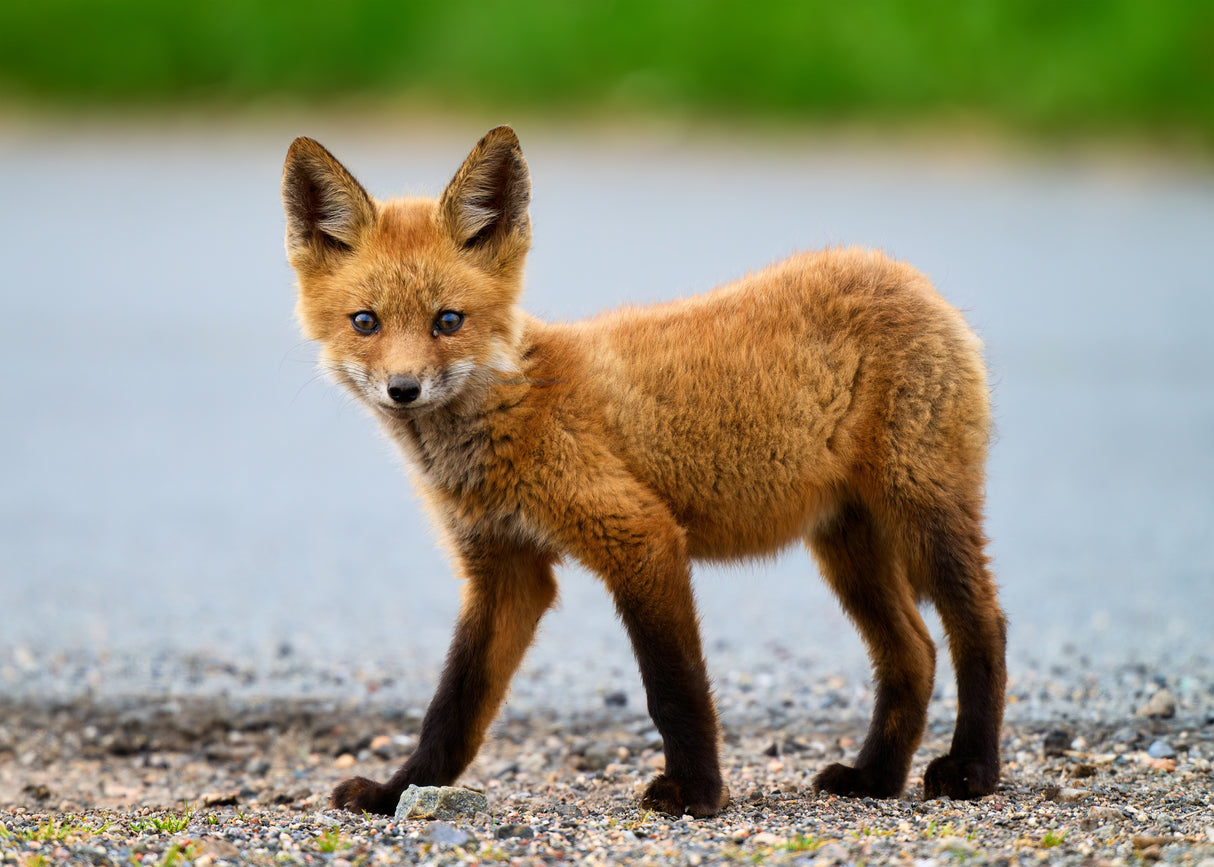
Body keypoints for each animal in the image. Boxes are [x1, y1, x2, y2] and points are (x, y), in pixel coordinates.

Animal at [281, 125, 1007, 819]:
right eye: (365, 322)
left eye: (448, 321)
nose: (402, 389)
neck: (514, 414)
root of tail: (901, 271)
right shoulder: (504, 571)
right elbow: (453, 706)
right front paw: (399, 791)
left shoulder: (639, 536)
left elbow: (673, 687)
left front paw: (696, 792)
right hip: (847, 546)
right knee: (914, 651)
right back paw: (875, 778)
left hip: (922, 512)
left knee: (983, 626)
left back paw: (971, 769)